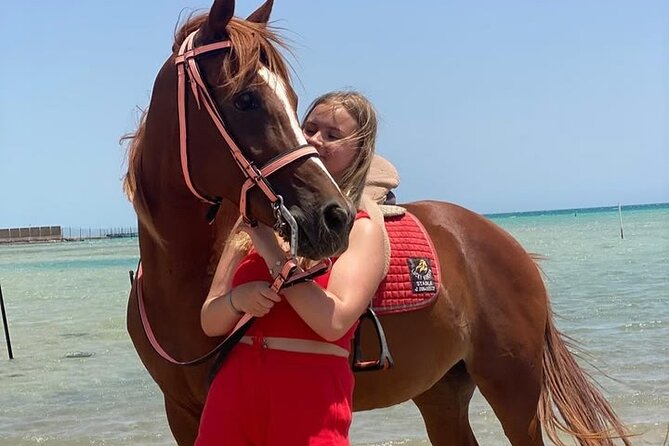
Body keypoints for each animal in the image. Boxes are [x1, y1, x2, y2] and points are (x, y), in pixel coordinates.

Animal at [124, 1, 631, 445]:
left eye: (293, 100)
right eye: (246, 98)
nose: (335, 218)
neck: (181, 281)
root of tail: (506, 244)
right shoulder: (182, 413)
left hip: (514, 392)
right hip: (441, 392)